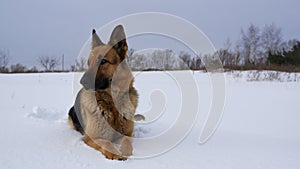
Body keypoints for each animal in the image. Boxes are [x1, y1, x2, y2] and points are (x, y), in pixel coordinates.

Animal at [68, 25, 139, 161]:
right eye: (88, 63)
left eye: (103, 61)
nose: (82, 82)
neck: (112, 103)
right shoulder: (91, 138)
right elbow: (106, 142)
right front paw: (115, 154)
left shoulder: (127, 134)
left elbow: (126, 141)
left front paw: (126, 151)